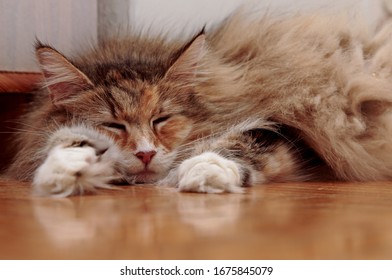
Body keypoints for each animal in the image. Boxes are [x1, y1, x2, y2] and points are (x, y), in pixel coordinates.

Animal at [6, 12, 392, 197]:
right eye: (113, 125)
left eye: (162, 119)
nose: (145, 154)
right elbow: (63, 142)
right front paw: (66, 170)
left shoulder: (284, 122)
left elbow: (236, 144)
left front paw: (205, 171)